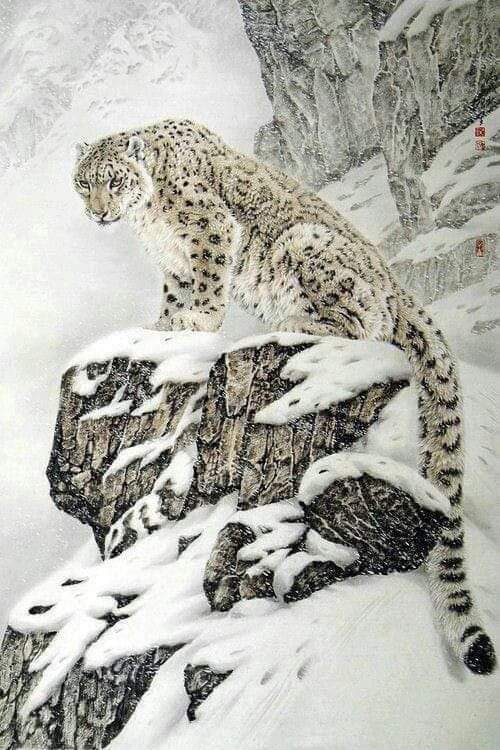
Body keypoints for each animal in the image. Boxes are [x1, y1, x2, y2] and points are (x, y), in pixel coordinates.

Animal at [73, 118, 496, 674]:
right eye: (85, 182)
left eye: (114, 180)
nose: (98, 211)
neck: (151, 220)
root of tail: (397, 284)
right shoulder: (174, 263)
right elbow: (171, 299)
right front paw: (161, 328)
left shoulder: (206, 231)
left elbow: (205, 286)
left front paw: (194, 324)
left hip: (307, 246)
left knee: (360, 322)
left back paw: (296, 321)